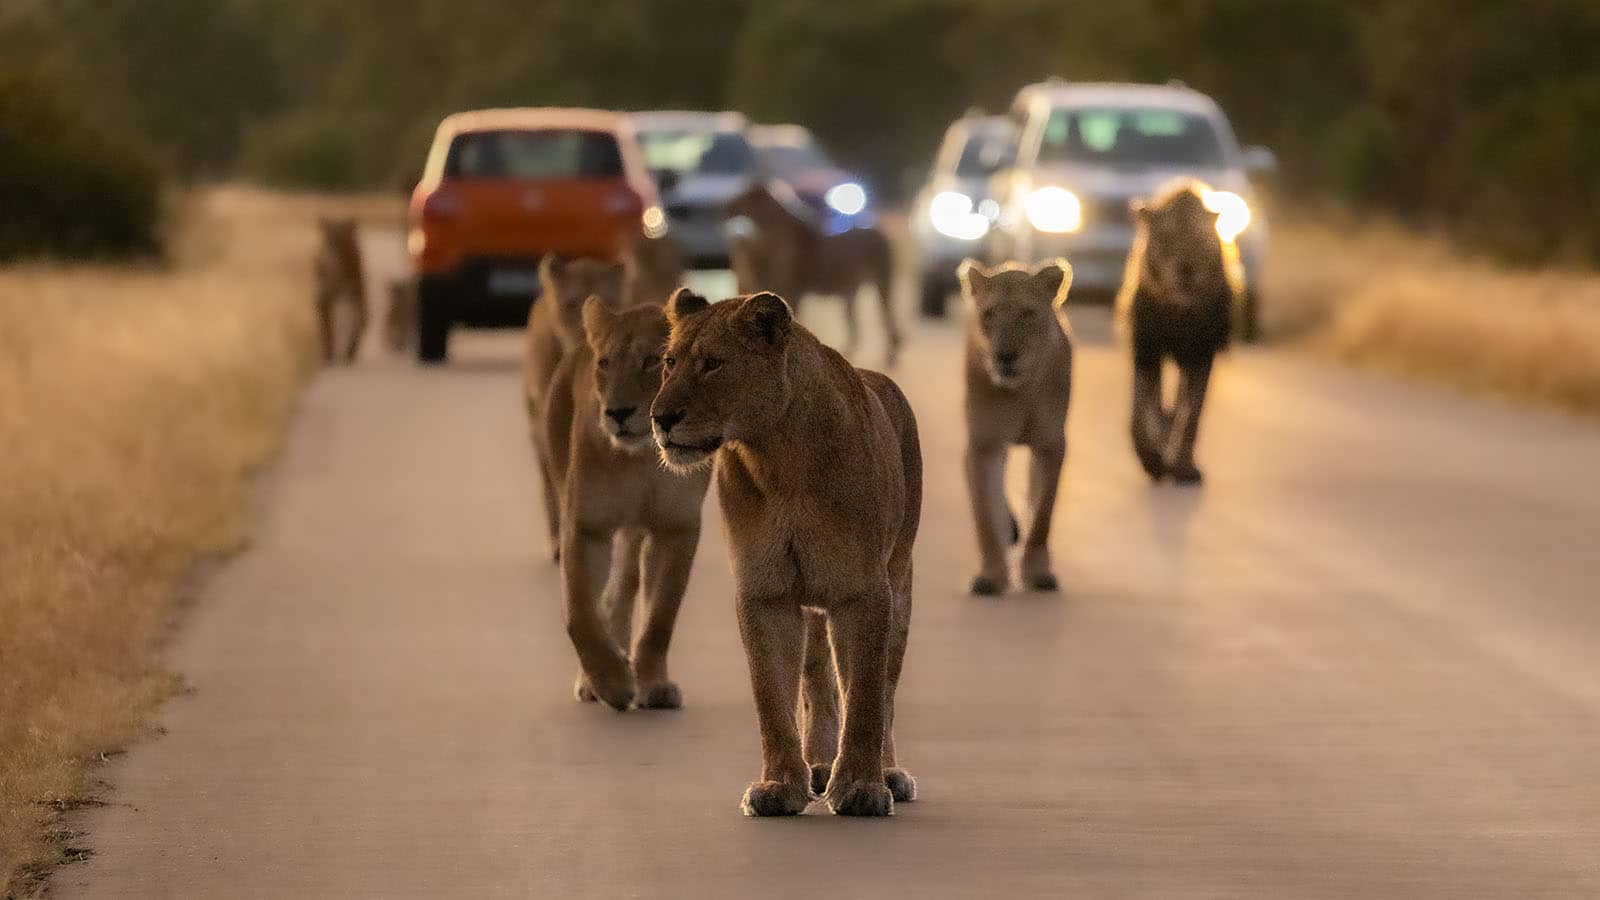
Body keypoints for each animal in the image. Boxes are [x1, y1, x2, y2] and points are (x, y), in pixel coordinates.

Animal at [543, 298, 711, 711]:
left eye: (652, 360)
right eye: (605, 363)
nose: (617, 413)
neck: (641, 460)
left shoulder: (675, 529)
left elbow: (659, 620)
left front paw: (654, 686)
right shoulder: (585, 526)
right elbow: (579, 613)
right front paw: (611, 683)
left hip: (637, 534)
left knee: (621, 591)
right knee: (605, 599)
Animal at [650, 288, 921, 817]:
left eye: (712, 364)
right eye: (669, 363)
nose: (660, 418)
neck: (778, 458)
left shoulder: (863, 591)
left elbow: (865, 696)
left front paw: (862, 787)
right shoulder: (766, 591)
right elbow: (773, 697)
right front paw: (780, 786)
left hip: (898, 580)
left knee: (885, 688)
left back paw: (889, 774)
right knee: (816, 683)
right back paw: (817, 766)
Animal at [723, 182, 902, 367]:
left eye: (748, 204)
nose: (737, 236)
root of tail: (880, 232)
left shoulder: (792, 291)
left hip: (882, 282)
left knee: (887, 320)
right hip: (851, 292)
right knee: (856, 328)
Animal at [957, 258, 1074, 596]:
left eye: (1028, 313)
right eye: (989, 313)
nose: (1005, 356)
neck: (1020, 392)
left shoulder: (1050, 444)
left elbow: (1042, 515)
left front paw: (1037, 574)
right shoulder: (984, 445)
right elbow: (985, 514)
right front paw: (992, 575)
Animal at [1116, 179, 1238, 484]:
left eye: (1199, 240)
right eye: (1166, 239)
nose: (1186, 270)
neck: (1178, 313)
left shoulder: (1201, 355)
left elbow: (1191, 415)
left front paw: (1183, 467)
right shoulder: (1147, 350)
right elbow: (1141, 413)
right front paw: (1151, 460)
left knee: (1177, 408)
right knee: (1159, 408)